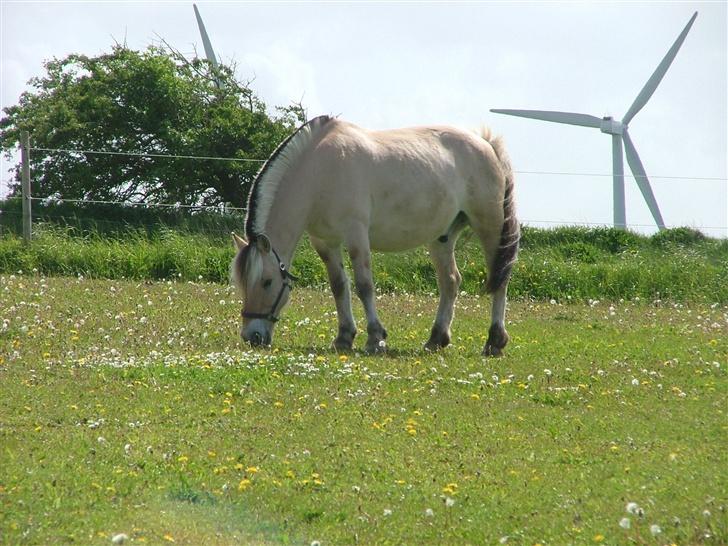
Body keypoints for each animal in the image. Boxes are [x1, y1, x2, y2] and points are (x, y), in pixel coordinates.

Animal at [230, 115, 519, 356]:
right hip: (442, 237)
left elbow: (364, 286)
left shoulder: (356, 235)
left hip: (490, 226)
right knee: (450, 281)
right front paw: (344, 337)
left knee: (501, 279)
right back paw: (436, 339)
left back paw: (494, 341)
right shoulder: (325, 243)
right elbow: (339, 286)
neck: (321, 172)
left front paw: (375, 338)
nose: (251, 336)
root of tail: (485, 143)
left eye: (267, 282)